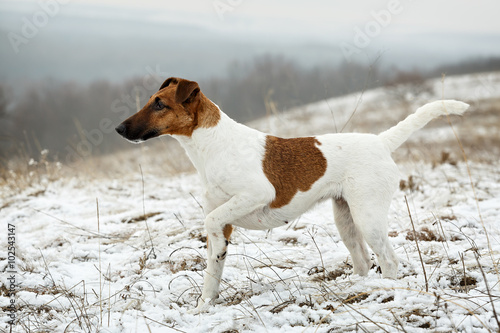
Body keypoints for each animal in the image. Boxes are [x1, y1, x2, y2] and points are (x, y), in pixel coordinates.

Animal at [115, 76, 470, 310]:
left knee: (389, 259)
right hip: (346, 219)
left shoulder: (254, 195)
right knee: (363, 260)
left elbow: (213, 221)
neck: (213, 145)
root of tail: (380, 142)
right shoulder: (224, 222)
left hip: (368, 217)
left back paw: (383, 291)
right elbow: (212, 272)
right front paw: (205, 306)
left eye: (160, 104)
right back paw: (358, 288)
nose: (119, 129)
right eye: (150, 101)